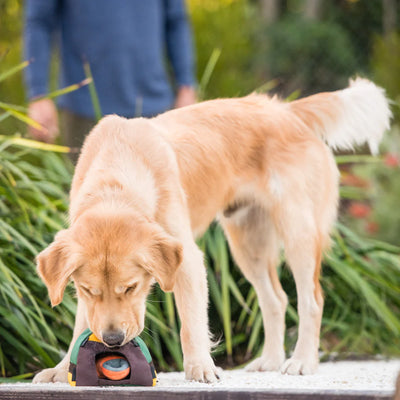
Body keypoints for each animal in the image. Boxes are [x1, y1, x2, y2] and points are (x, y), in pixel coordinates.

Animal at [33, 79, 390, 384]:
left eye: (132, 287)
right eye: (88, 290)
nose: (111, 340)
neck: (117, 173)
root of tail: (287, 110)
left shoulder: (188, 260)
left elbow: (191, 324)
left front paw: (200, 368)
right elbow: (81, 325)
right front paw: (63, 369)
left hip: (297, 232)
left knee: (311, 300)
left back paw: (302, 361)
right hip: (247, 246)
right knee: (275, 300)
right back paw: (270, 360)